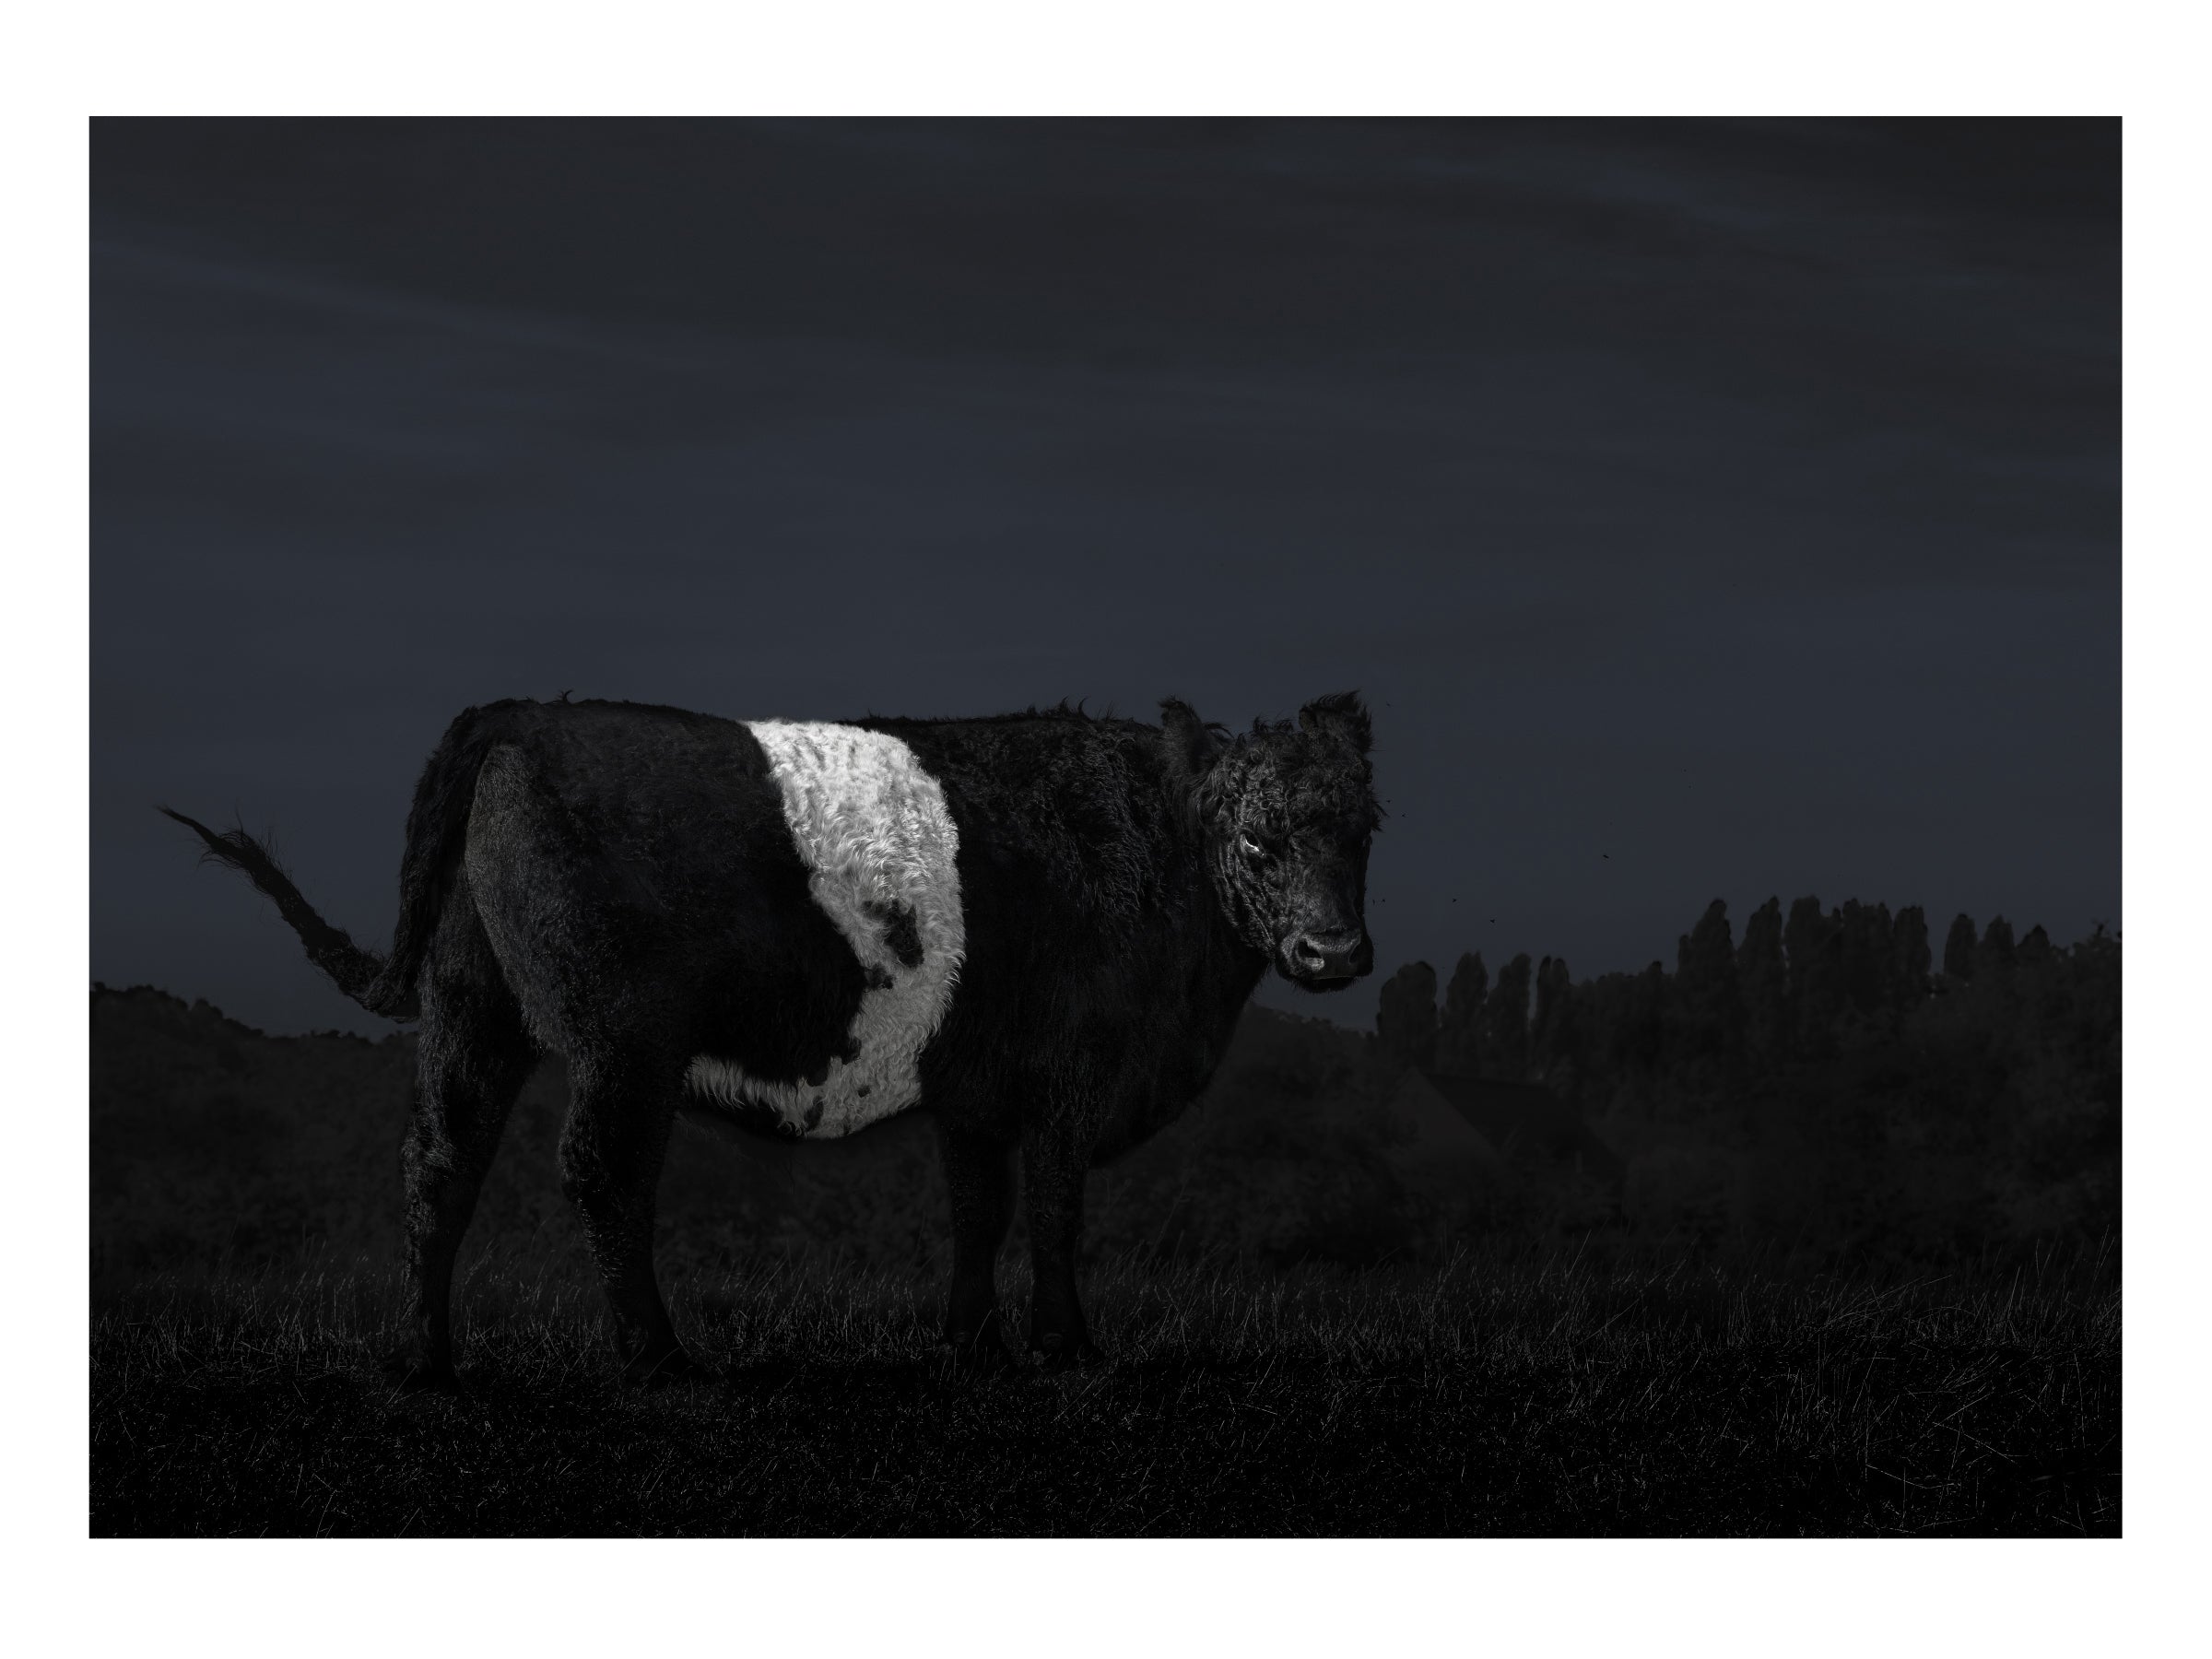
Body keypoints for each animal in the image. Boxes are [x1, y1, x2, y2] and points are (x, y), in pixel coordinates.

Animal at [163, 692, 1380, 1388]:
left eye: (1364, 829)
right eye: (1256, 838)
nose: (1333, 952)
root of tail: (521, 715)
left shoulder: (978, 1086)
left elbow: (978, 1209)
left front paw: (970, 1345)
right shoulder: (1067, 1075)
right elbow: (1053, 1209)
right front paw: (1067, 1349)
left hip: (473, 1004)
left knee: (439, 1159)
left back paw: (425, 1358)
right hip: (625, 1038)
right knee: (599, 1172)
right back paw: (659, 1359)